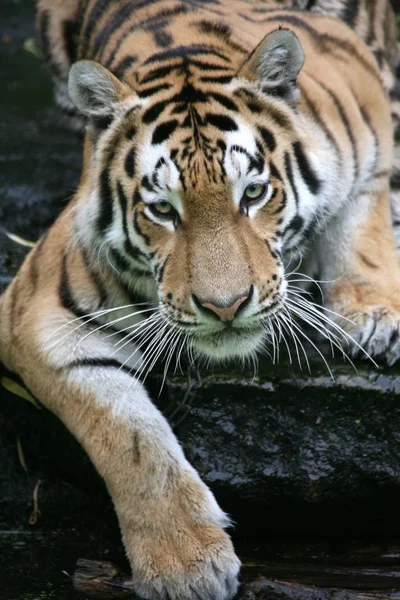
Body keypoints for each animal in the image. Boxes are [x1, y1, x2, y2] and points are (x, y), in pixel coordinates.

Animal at [2, 0, 400, 596]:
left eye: (253, 193)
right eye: (163, 210)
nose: (225, 306)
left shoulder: (365, 102)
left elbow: (364, 215)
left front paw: (375, 316)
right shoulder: (39, 312)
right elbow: (127, 436)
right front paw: (184, 565)